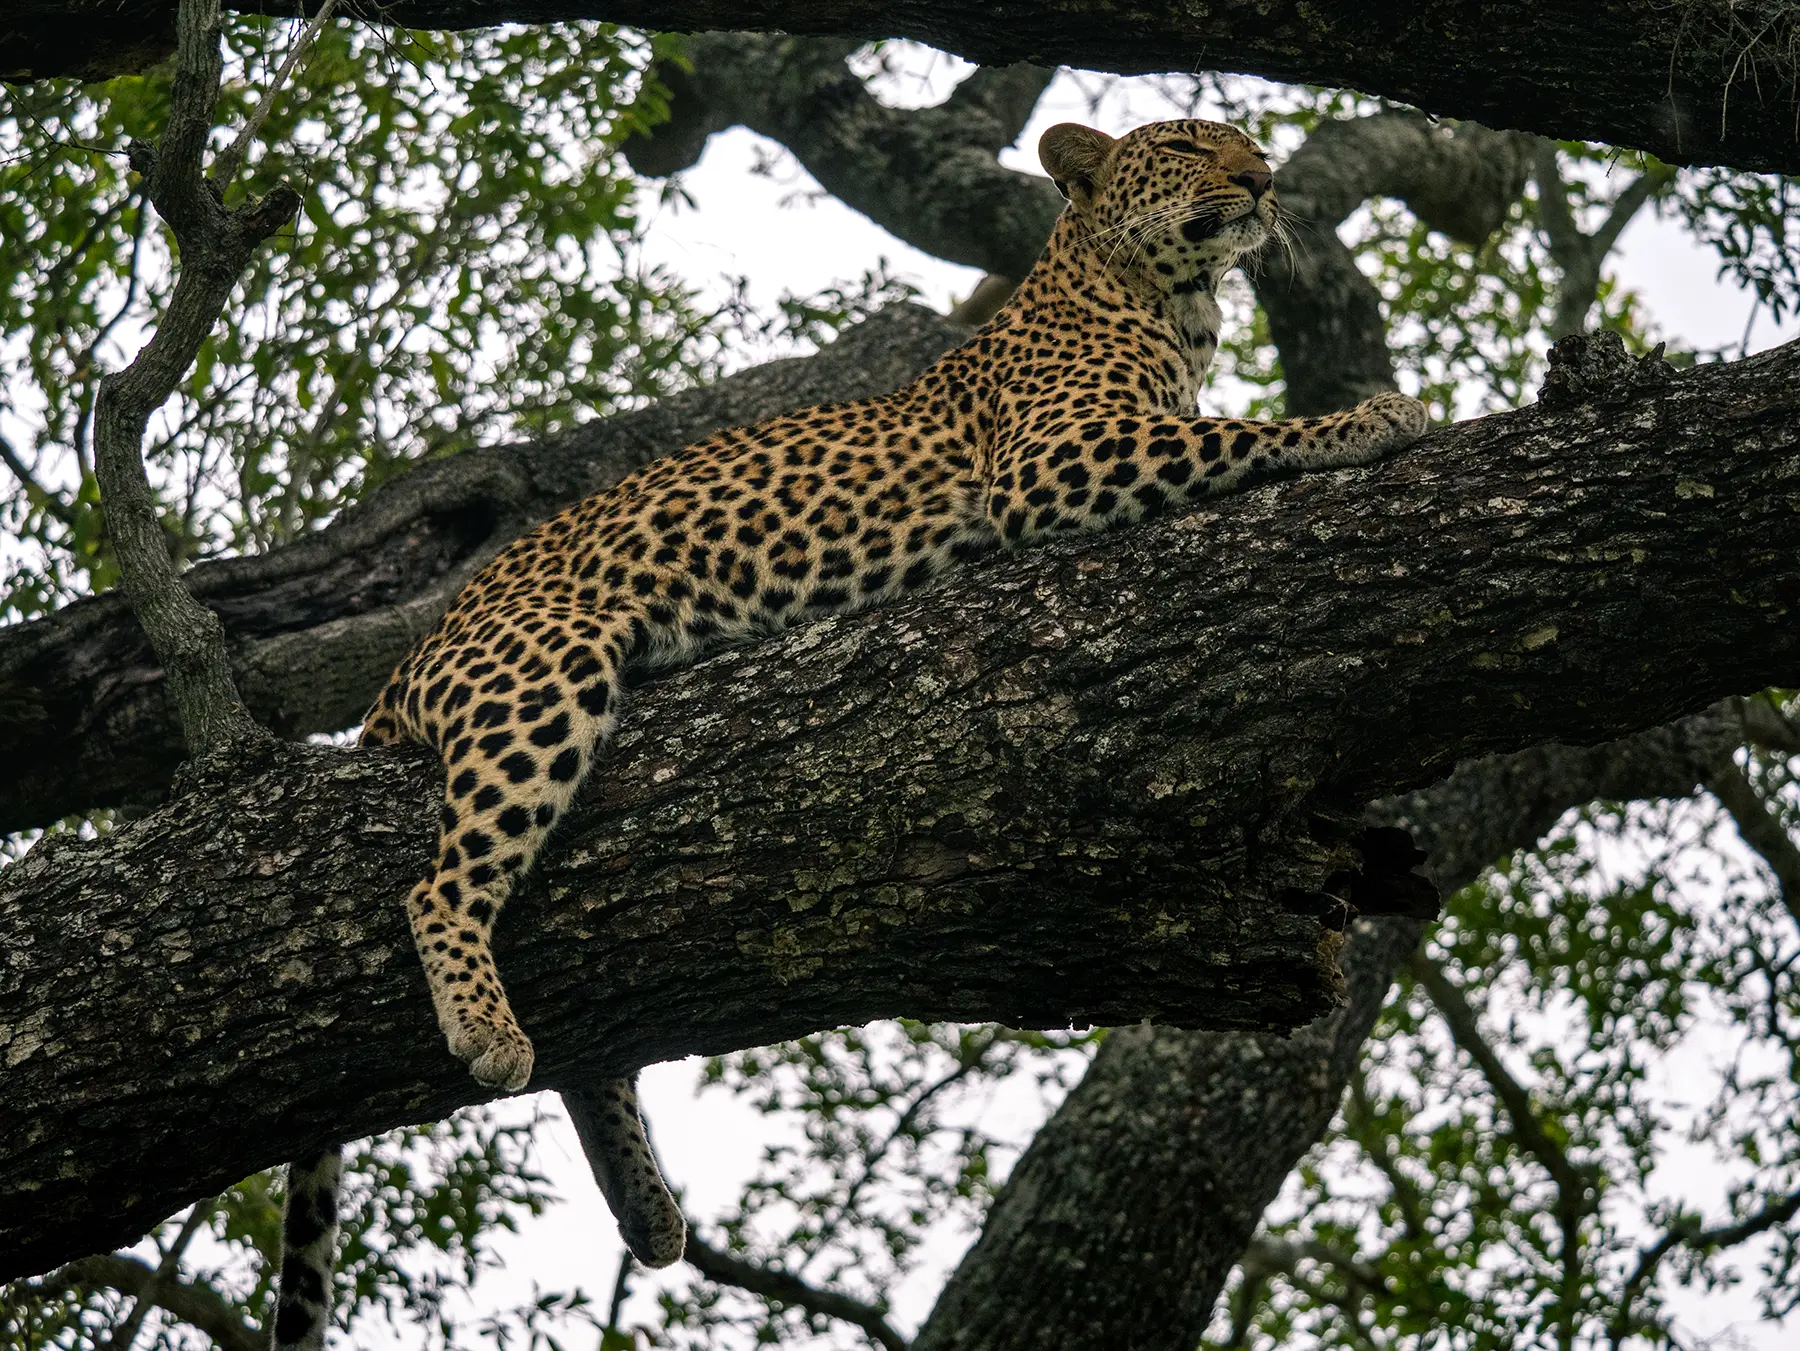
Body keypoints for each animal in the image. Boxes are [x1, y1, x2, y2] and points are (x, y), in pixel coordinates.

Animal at [268, 116, 1428, 1350]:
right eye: (1186, 143)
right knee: (441, 886)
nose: (1263, 180)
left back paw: (649, 1209)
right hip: (541, 676)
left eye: (1247, 141)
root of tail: (411, 659)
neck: (1169, 301)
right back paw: (486, 1029)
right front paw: (1374, 417)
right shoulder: (1057, 457)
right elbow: (1248, 433)